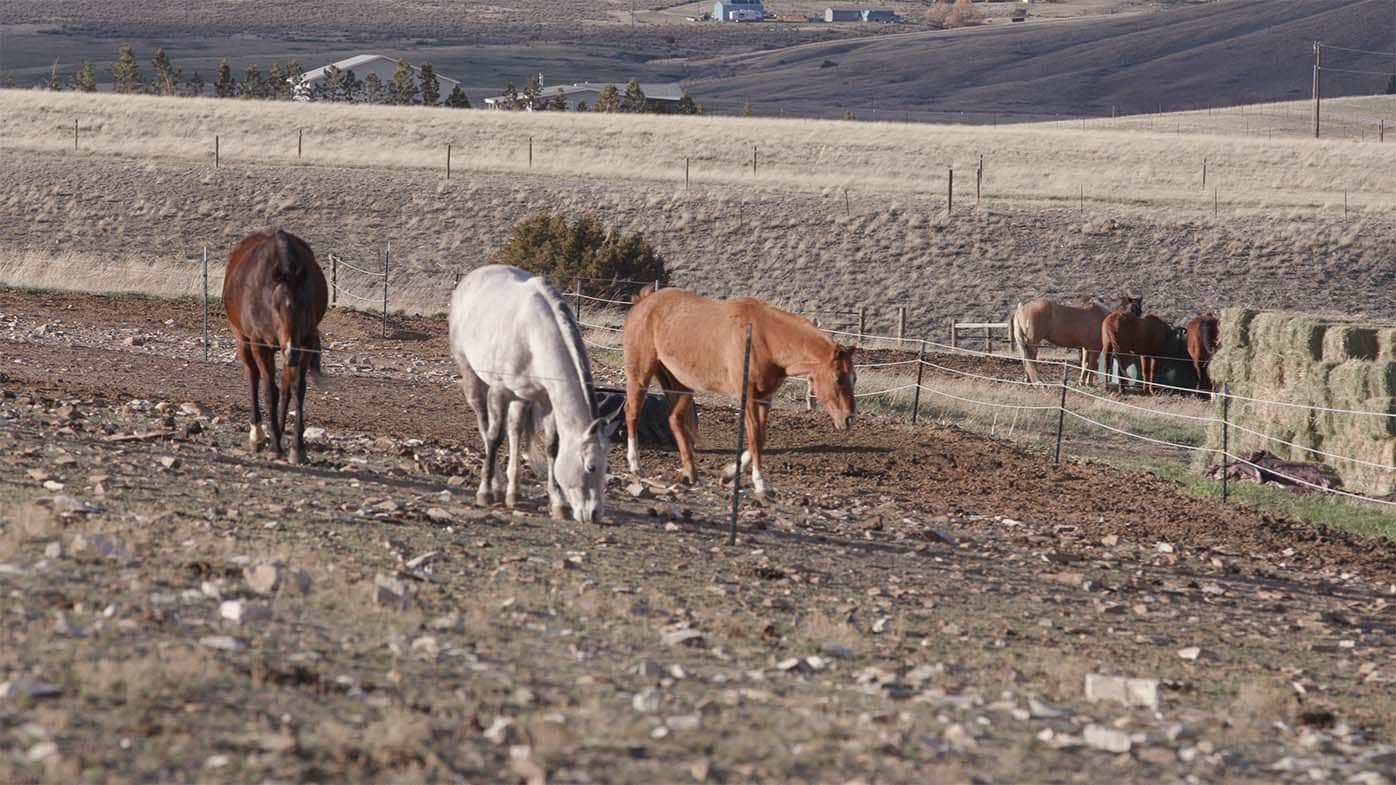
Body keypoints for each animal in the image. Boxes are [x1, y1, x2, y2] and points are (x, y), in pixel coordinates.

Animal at [224, 227, 330, 458]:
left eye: (304, 304)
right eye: (276, 306)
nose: (291, 350)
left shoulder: (305, 342)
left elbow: (297, 389)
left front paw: (297, 449)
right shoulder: (259, 344)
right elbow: (268, 390)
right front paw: (273, 447)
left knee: (285, 387)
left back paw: (279, 434)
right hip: (242, 339)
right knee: (253, 378)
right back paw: (258, 435)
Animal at [452, 265, 617, 522]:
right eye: (591, 466)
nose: (595, 514)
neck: (534, 335)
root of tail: (470, 278)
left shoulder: (547, 400)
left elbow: (551, 446)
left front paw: (558, 503)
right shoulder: (499, 392)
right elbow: (494, 437)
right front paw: (485, 492)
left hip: (521, 398)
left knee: (515, 430)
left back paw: (513, 492)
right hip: (472, 377)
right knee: (485, 425)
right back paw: (497, 485)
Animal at [625, 286, 859, 494]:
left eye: (854, 379)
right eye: (838, 379)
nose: (848, 418)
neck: (764, 338)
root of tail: (643, 302)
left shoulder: (765, 399)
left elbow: (761, 437)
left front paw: (728, 473)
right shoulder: (747, 397)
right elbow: (754, 435)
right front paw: (760, 482)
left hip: (682, 385)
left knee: (675, 419)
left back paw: (691, 473)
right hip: (640, 375)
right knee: (632, 413)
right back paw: (636, 465)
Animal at [1016, 293, 1144, 382]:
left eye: (1139, 311)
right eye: (1132, 309)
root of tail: (1022, 308)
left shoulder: (1086, 348)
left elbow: (1085, 364)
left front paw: (1082, 381)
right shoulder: (1094, 349)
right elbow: (1091, 365)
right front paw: (1089, 382)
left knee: (1026, 358)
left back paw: (1027, 378)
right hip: (1033, 342)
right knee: (1030, 359)